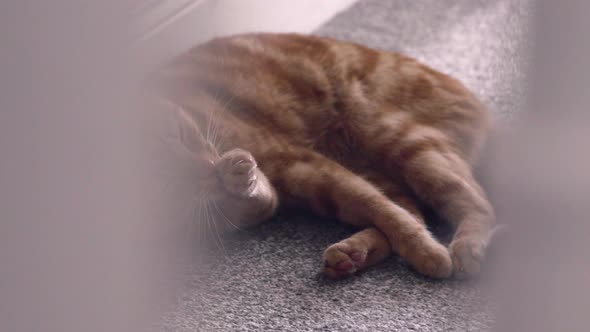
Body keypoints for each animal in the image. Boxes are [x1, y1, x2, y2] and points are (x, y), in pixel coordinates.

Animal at [151, 33, 494, 278]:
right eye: (169, 186)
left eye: (180, 134)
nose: (209, 168)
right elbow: (386, 211)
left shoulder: (298, 163)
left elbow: (380, 208)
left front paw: (427, 252)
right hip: (378, 162)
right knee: (410, 207)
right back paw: (353, 253)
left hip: (394, 137)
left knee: (474, 203)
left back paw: (465, 249)